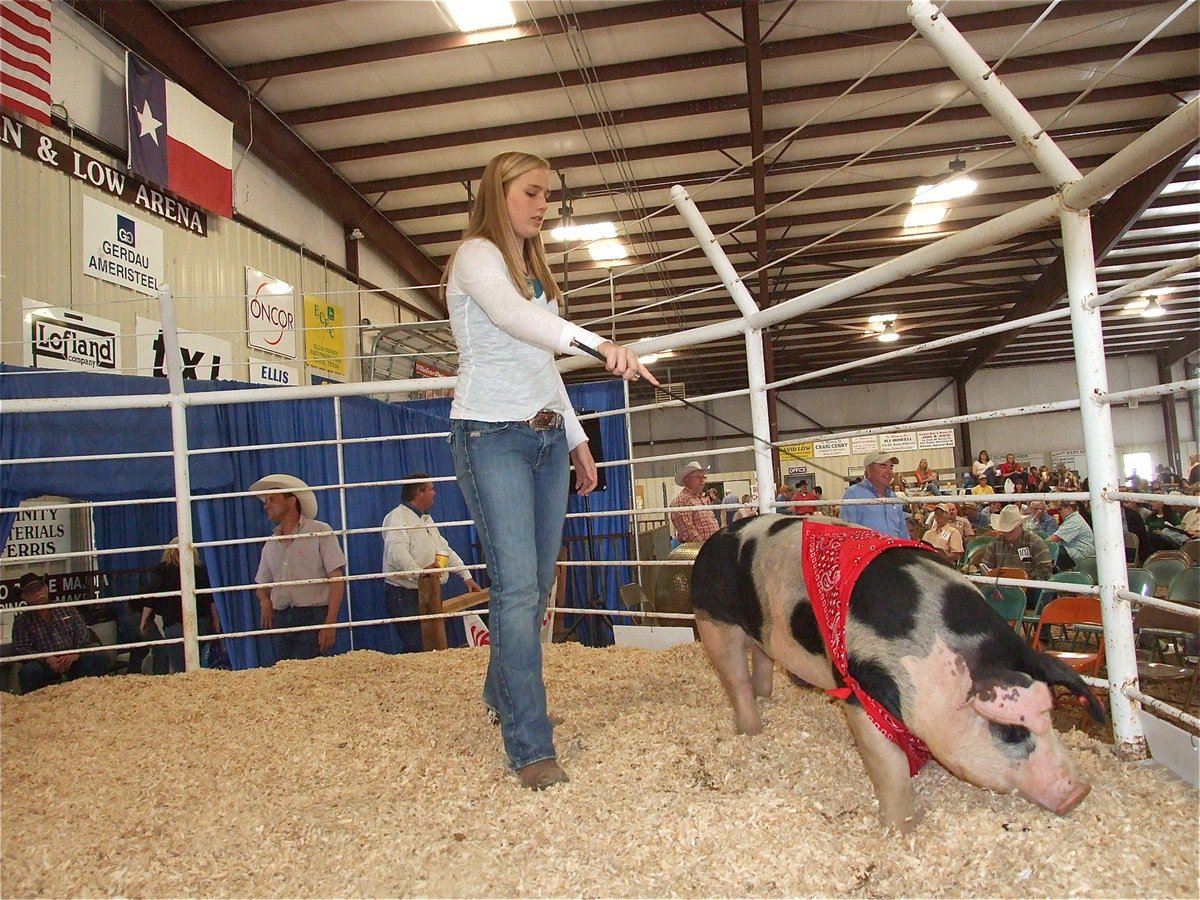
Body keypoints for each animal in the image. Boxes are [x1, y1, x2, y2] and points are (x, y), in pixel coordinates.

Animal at [691, 518, 1099, 835]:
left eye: (1049, 717)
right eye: (1011, 730)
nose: (1080, 792)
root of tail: (713, 539)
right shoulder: (863, 691)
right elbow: (889, 767)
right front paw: (901, 830)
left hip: (760, 633)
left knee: (760, 660)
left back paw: (766, 700)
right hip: (714, 621)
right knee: (735, 679)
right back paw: (752, 730)